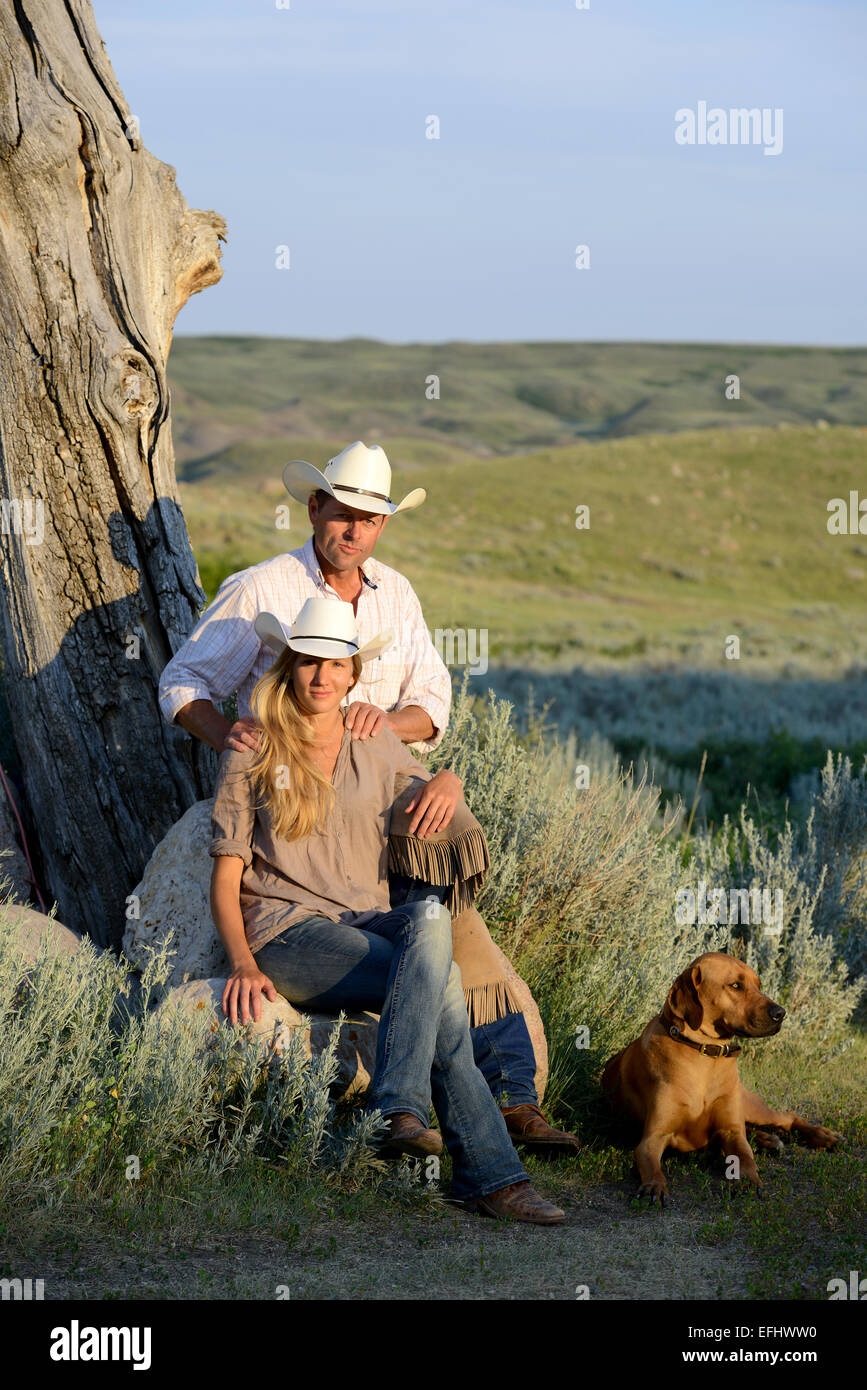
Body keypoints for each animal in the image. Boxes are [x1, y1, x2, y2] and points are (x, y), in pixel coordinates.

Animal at [603, 950, 839, 1200]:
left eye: (758, 985)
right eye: (736, 985)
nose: (781, 1013)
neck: (705, 1057)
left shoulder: (731, 1131)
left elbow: (745, 1158)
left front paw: (750, 1180)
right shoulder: (652, 1138)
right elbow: (652, 1167)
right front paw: (654, 1186)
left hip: (751, 1105)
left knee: (788, 1117)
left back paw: (824, 1136)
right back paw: (768, 1139)